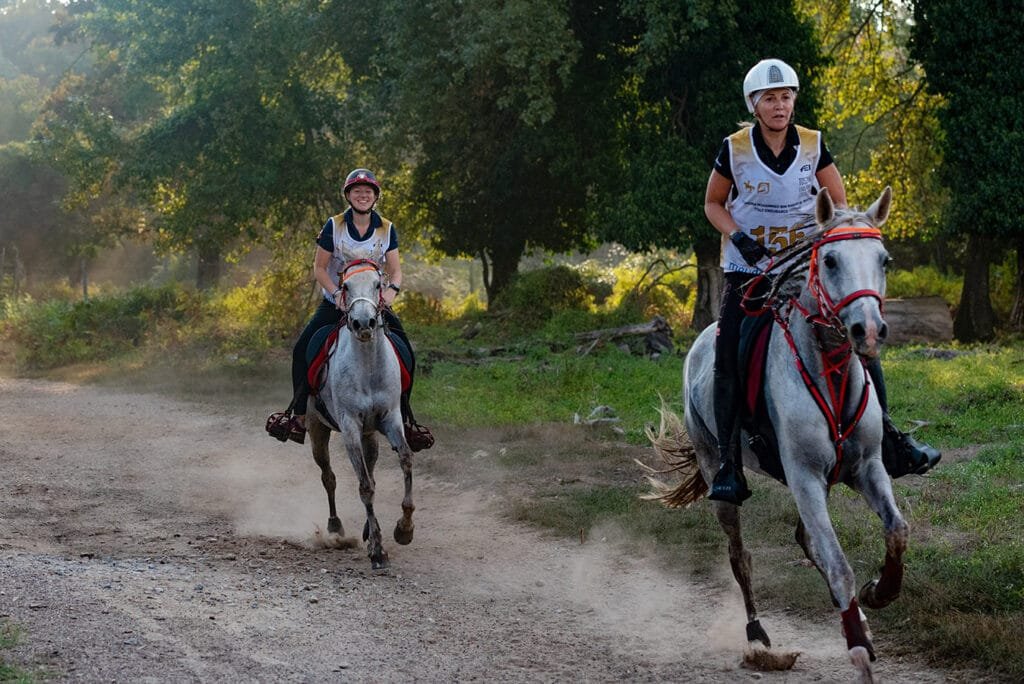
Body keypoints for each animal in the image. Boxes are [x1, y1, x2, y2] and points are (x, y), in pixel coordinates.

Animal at [307, 258, 415, 570]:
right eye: (345, 286)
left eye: (379, 284)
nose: (364, 323)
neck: (367, 365)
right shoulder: (350, 426)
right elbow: (364, 486)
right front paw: (378, 550)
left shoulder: (390, 418)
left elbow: (405, 460)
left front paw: (404, 529)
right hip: (317, 429)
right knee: (328, 476)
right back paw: (335, 526)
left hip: (371, 434)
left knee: (371, 470)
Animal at [644, 186, 905, 682]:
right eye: (830, 260)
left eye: (884, 260)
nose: (867, 330)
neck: (830, 370)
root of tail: (700, 342)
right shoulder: (804, 477)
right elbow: (838, 565)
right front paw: (859, 650)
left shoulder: (867, 468)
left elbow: (896, 531)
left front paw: (878, 593)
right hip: (719, 470)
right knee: (740, 556)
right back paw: (758, 636)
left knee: (808, 543)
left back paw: (857, 615)